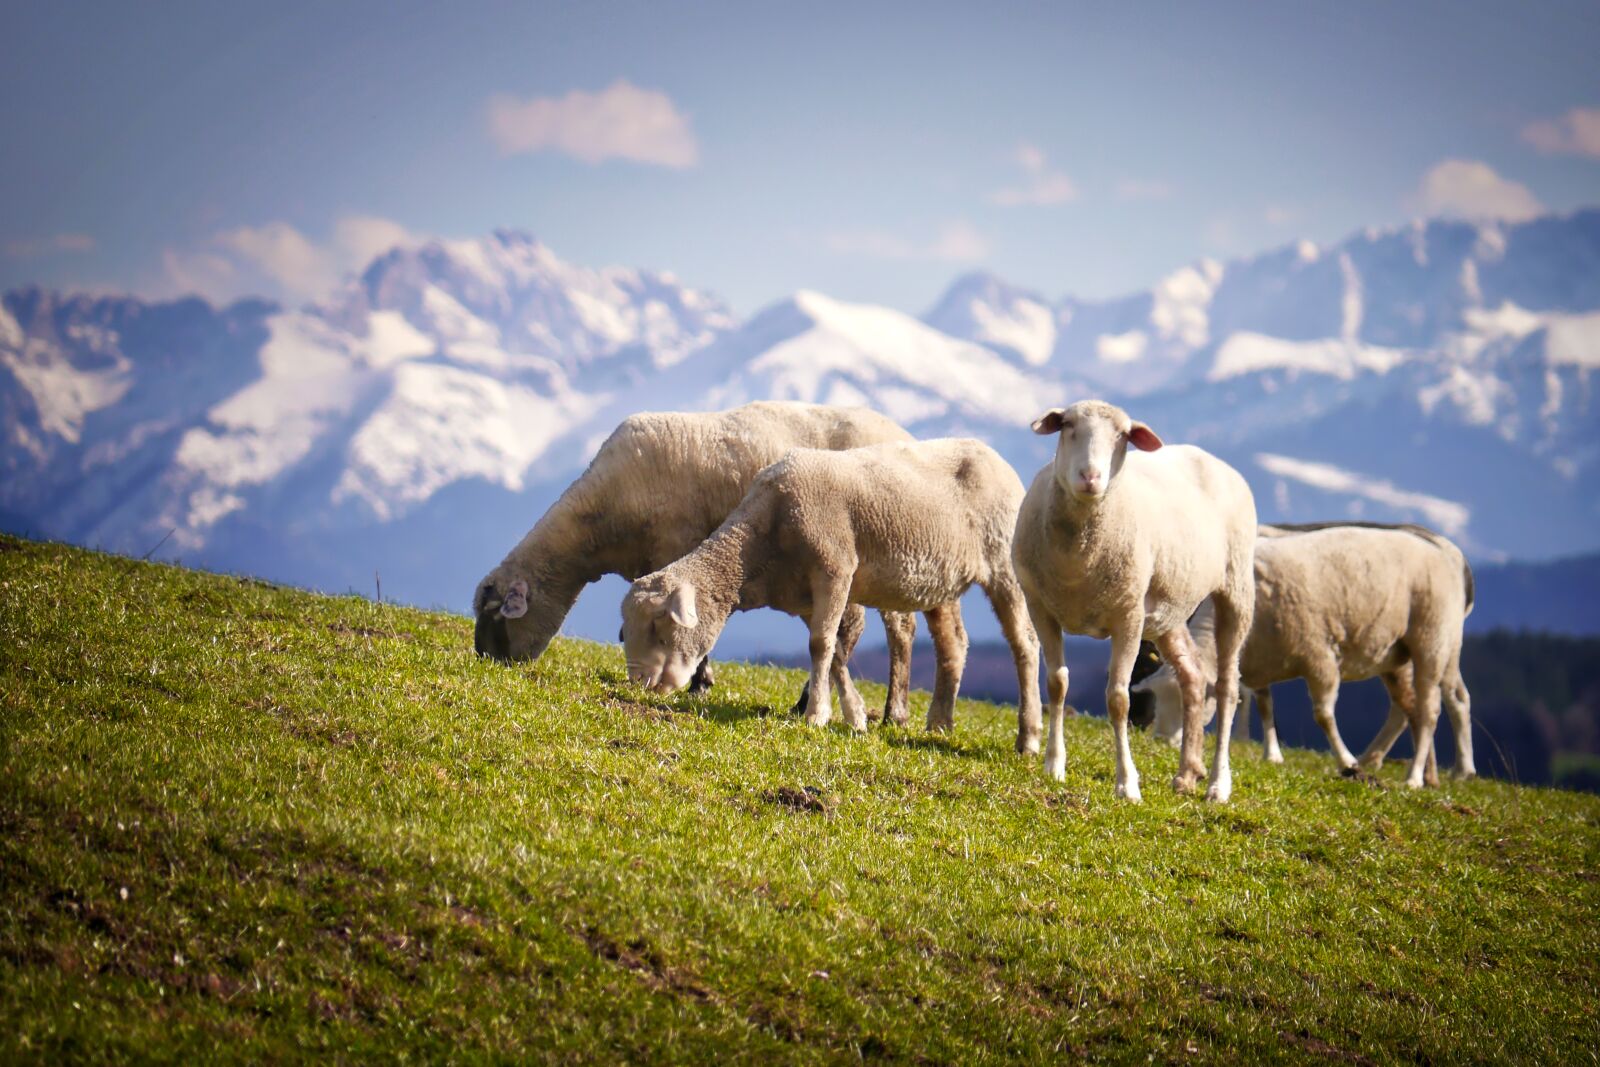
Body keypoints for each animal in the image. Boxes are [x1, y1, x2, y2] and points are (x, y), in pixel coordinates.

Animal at [473, 401, 946, 723]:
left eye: (497, 616)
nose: (486, 662)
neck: (597, 522)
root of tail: (906, 434)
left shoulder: (676, 545)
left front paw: (699, 681)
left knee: (898, 631)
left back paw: (891, 710)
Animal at [620, 438, 1043, 747]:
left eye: (660, 626)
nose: (641, 683)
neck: (760, 544)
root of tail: (994, 456)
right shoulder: (806, 595)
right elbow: (834, 648)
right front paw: (854, 717)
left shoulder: (835, 570)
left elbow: (820, 645)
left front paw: (816, 715)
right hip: (940, 580)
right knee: (953, 644)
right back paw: (939, 723)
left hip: (1005, 566)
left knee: (1025, 644)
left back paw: (1029, 738)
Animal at [1012, 399, 1257, 802]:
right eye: (1068, 425)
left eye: (1122, 435)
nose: (1090, 477)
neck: (1078, 559)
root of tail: (1209, 457)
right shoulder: (1040, 607)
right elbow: (1057, 684)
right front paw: (1054, 766)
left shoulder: (1127, 616)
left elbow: (1118, 699)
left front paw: (1127, 783)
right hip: (1168, 611)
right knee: (1192, 676)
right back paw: (1187, 774)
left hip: (1236, 590)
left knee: (1227, 688)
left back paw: (1218, 784)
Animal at [1132, 522, 1475, 789]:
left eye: (1190, 702)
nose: (1161, 739)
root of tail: (1442, 550)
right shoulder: (1256, 660)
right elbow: (1265, 706)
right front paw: (1273, 754)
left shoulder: (1318, 655)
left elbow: (1323, 715)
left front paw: (1346, 761)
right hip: (1395, 653)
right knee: (1409, 708)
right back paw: (1411, 769)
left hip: (1434, 641)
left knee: (1435, 708)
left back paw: (1421, 775)